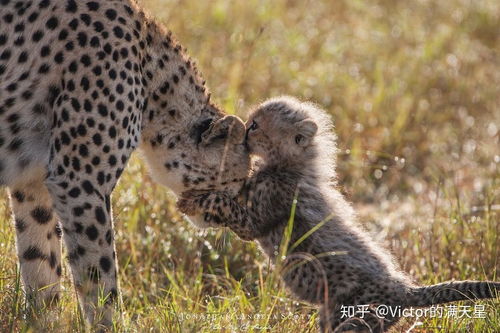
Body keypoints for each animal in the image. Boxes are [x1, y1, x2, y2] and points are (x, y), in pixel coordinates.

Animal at [0, 0, 250, 326]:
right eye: (239, 183)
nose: (241, 224)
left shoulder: (33, 184)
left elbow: (40, 264)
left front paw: (43, 323)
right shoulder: (80, 183)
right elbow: (99, 275)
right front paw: (110, 324)